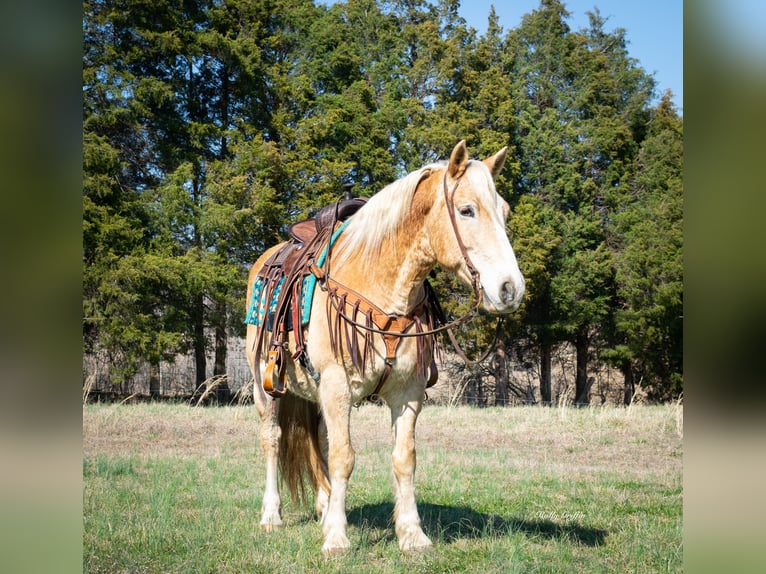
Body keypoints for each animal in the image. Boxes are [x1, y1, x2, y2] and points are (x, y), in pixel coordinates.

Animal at [246, 141, 528, 560]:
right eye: (467, 210)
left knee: (320, 440)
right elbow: (343, 457)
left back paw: (324, 505)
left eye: (505, 212)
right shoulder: (336, 385)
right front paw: (337, 538)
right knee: (273, 440)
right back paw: (271, 515)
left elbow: (403, 459)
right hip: (264, 386)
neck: (382, 284)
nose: (511, 289)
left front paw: (412, 534)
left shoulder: (407, 392)